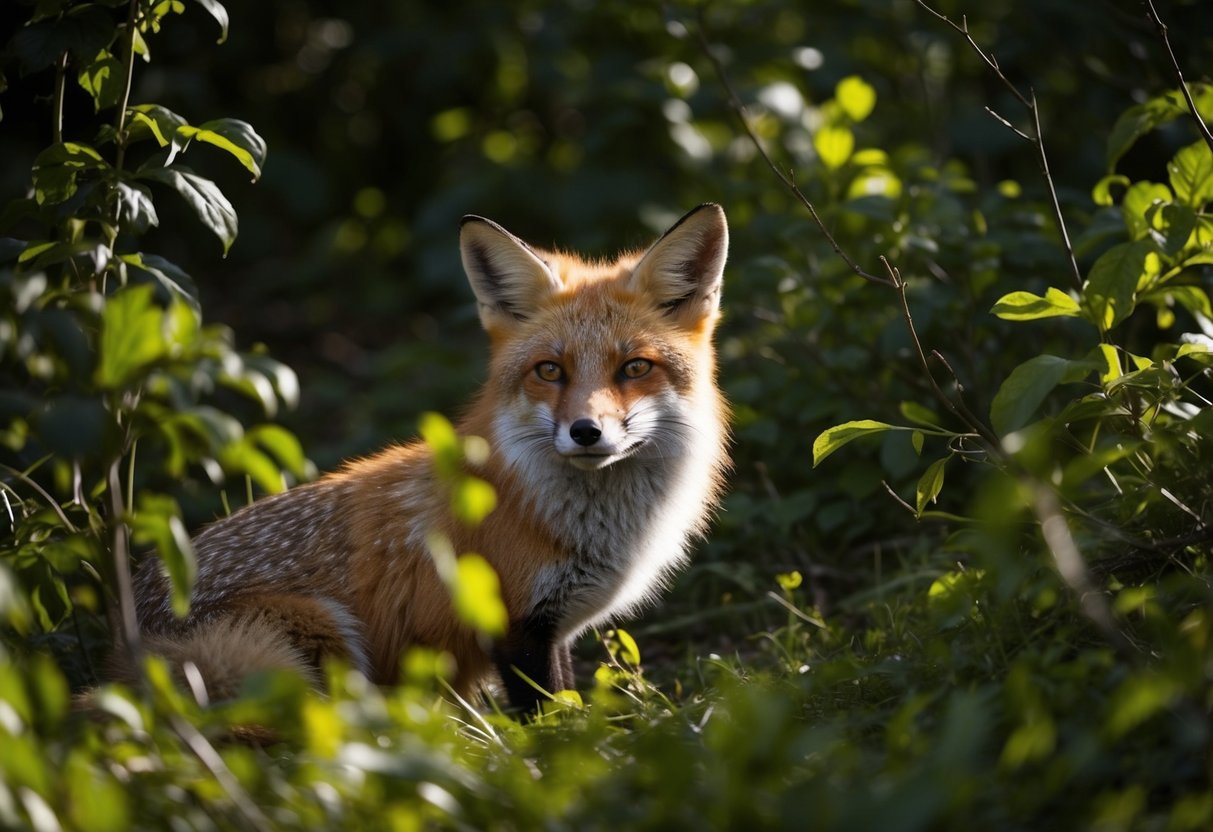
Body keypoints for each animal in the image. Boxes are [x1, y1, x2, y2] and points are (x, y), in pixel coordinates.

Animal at [126, 203, 730, 713]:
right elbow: (547, 717)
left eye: (634, 367)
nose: (586, 431)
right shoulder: (512, 624)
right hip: (322, 632)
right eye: (550, 371)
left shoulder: (550, 628)